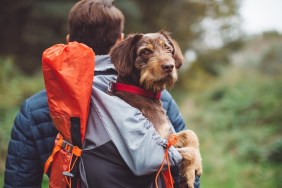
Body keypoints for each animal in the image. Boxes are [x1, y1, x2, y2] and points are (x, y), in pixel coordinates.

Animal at [109, 31, 202, 188]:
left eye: (168, 49)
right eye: (146, 52)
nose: (169, 66)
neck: (145, 94)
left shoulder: (168, 135)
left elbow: (190, 133)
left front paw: (197, 164)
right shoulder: (161, 146)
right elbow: (186, 151)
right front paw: (190, 172)